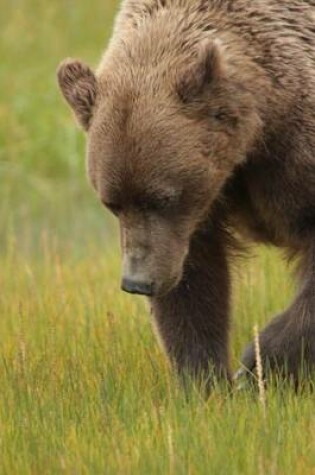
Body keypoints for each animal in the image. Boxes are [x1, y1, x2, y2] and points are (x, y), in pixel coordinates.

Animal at [58, 0, 315, 388]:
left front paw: (256, 365)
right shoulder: (197, 211)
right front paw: (205, 379)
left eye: (163, 197)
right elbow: (195, 277)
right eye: (111, 203)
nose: (137, 282)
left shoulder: (292, 156)